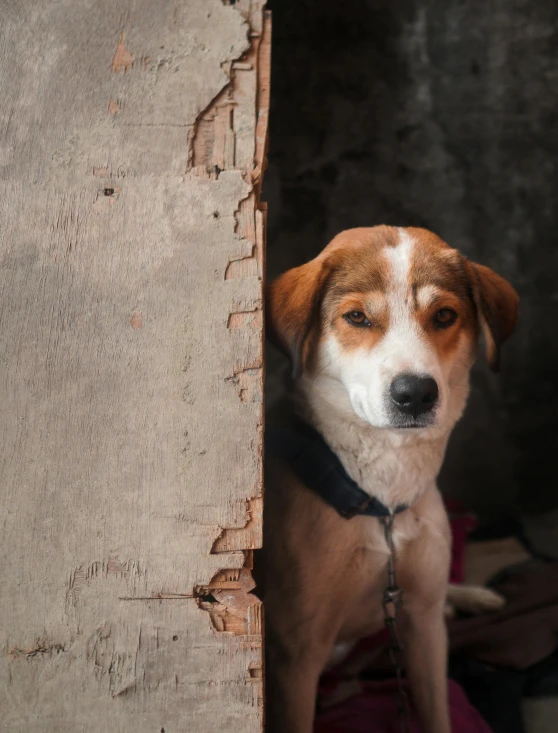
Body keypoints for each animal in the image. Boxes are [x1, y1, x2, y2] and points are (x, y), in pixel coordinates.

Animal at [262, 226, 520, 732]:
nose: (415, 393)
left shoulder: (424, 631)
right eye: (357, 317)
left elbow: (438, 713)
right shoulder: (294, 659)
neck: (383, 500)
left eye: (444, 315)